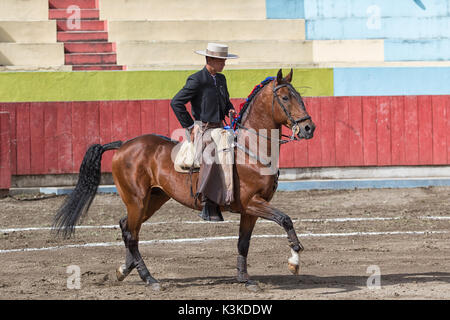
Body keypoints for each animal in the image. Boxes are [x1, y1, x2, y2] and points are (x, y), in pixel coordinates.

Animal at [53, 68, 316, 290]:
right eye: (285, 98)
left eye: (299, 96)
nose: (308, 128)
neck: (251, 149)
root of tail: (123, 145)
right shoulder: (251, 202)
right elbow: (285, 219)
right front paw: (294, 261)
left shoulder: (251, 209)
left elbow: (244, 242)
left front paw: (245, 279)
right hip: (136, 200)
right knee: (131, 234)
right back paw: (149, 279)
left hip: (153, 199)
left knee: (128, 227)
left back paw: (125, 270)